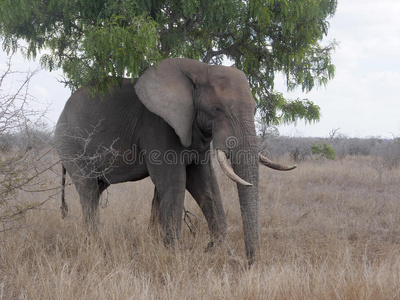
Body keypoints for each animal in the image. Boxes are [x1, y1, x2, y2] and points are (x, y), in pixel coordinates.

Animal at [54, 57, 296, 264]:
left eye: (255, 109)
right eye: (217, 109)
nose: (249, 263)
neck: (201, 69)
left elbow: (205, 182)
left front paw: (213, 251)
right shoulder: (158, 126)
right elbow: (175, 181)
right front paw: (176, 257)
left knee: (96, 189)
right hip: (71, 144)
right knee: (88, 190)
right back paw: (96, 247)